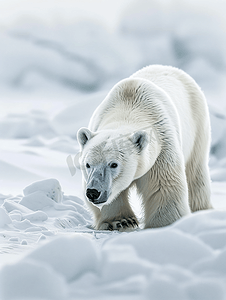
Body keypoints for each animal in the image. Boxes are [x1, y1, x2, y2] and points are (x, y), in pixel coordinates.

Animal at [77, 64, 213, 231]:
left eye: (113, 164)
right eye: (88, 164)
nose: (93, 192)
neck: (128, 106)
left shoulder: (162, 148)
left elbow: (164, 187)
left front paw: (162, 225)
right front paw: (121, 221)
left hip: (197, 126)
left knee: (195, 173)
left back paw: (201, 211)